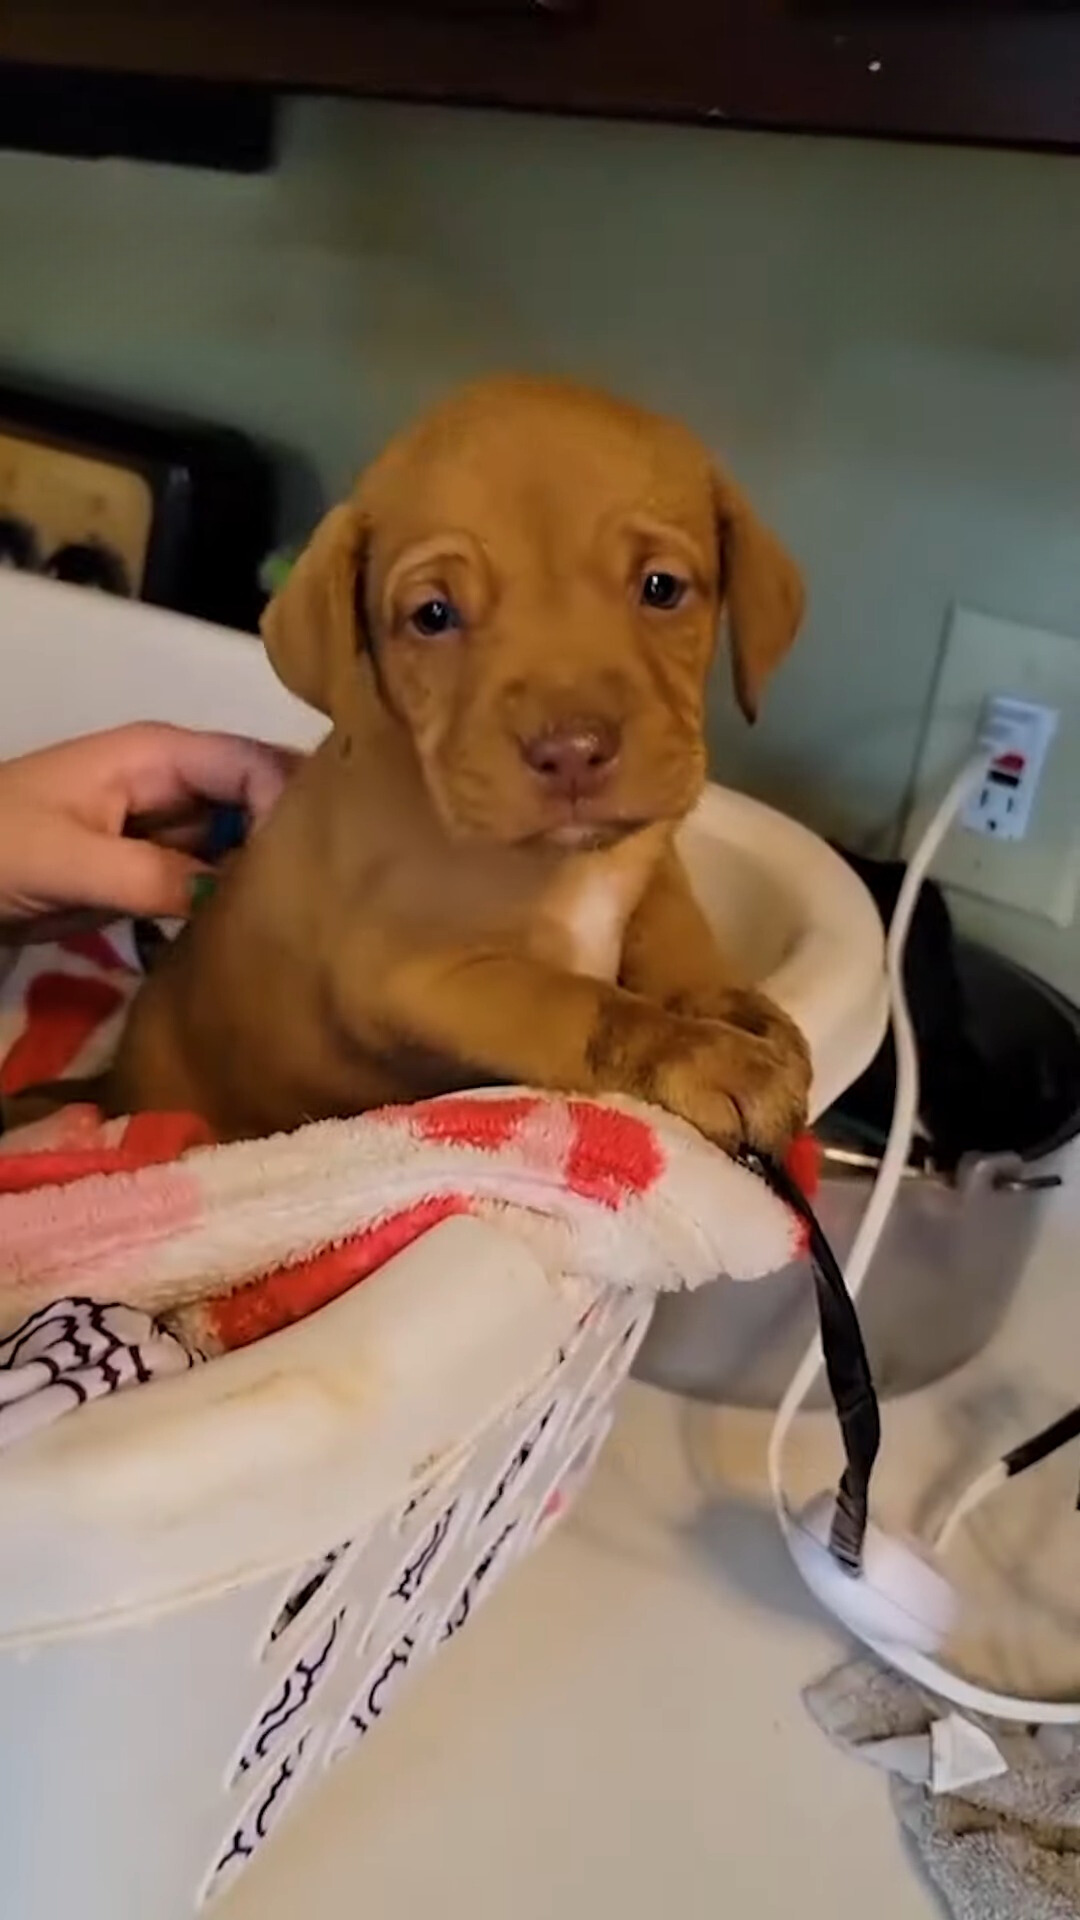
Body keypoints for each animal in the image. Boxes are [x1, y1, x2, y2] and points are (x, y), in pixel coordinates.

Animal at [113, 378, 810, 1152]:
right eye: (433, 615)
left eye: (661, 587)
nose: (572, 752)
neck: (570, 863)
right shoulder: (414, 973)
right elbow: (577, 1002)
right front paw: (695, 1052)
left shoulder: (649, 858)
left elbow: (671, 929)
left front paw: (730, 1007)